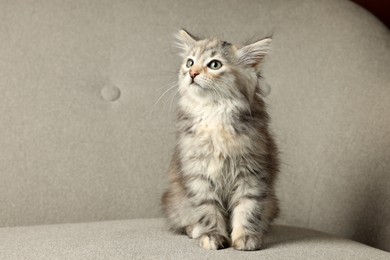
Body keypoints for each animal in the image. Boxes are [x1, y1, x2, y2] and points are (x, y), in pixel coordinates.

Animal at [161, 30, 280, 252]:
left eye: (214, 64)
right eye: (189, 62)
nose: (192, 73)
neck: (214, 113)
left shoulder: (251, 172)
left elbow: (248, 208)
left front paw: (245, 237)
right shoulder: (198, 174)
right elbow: (207, 210)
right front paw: (212, 235)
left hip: (272, 203)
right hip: (175, 201)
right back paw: (195, 230)